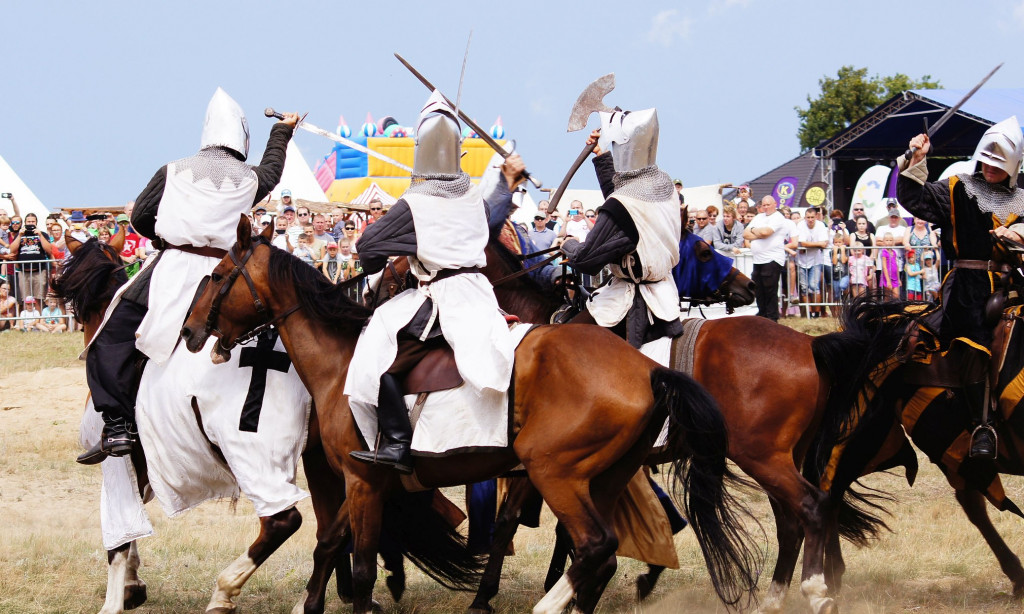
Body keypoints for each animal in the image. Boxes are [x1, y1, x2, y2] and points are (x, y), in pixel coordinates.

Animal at [182, 216, 761, 614]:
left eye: (217, 274)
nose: (189, 332)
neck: (340, 360)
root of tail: (648, 370)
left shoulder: (365, 480)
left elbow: (363, 565)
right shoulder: (362, 480)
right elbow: (330, 543)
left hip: (556, 472)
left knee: (596, 546)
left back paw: (550, 604)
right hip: (605, 478)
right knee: (603, 553)